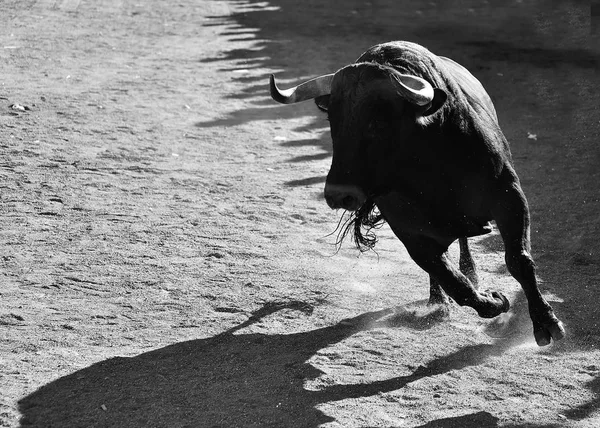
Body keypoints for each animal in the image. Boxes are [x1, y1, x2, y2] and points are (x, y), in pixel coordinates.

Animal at [270, 41, 564, 348]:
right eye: (332, 117)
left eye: (379, 119)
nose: (340, 195)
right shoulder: (410, 231)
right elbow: (454, 282)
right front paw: (494, 300)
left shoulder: (509, 197)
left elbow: (519, 260)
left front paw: (546, 322)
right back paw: (439, 299)